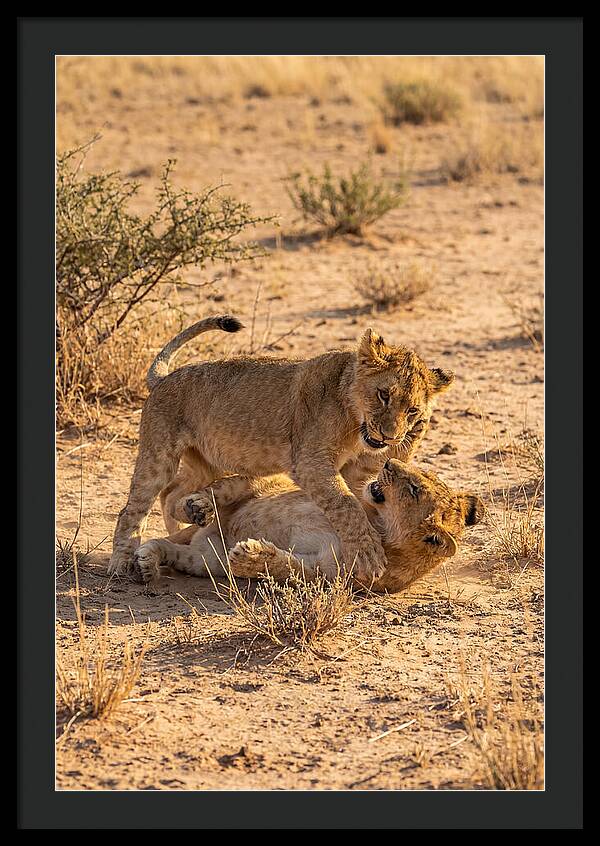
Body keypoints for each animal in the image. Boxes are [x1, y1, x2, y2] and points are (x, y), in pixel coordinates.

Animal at [109, 315, 454, 582]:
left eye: (412, 410)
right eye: (384, 395)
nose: (389, 436)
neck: (354, 421)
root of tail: (164, 378)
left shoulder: (357, 471)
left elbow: (359, 494)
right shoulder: (311, 462)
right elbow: (346, 505)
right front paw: (369, 554)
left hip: (206, 462)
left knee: (172, 493)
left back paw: (190, 518)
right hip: (159, 454)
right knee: (133, 508)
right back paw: (122, 563)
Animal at [134, 459, 484, 594]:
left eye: (414, 489)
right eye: (420, 475)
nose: (387, 462)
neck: (377, 523)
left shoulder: (325, 574)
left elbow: (286, 567)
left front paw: (250, 555)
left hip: (206, 560)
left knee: (173, 549)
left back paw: (148, 562)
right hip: (261, 485)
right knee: (226, 487)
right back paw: (197, 506)